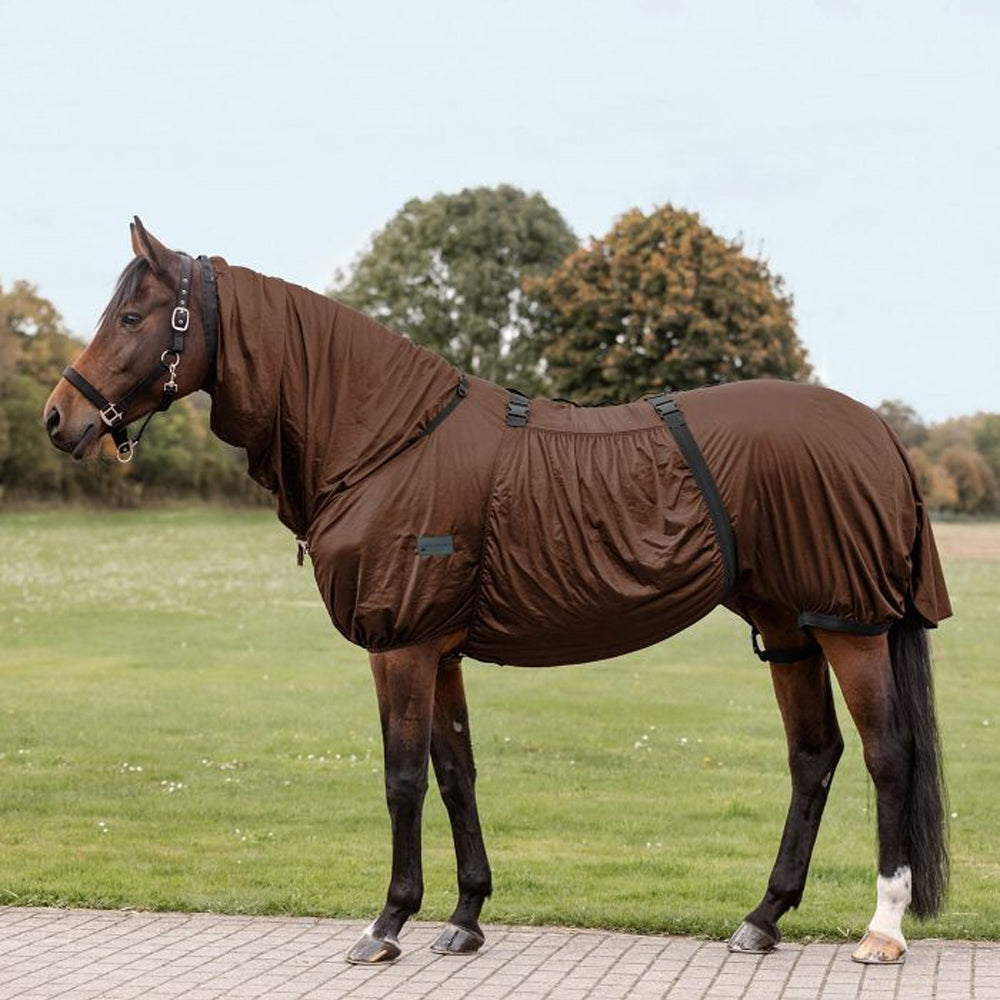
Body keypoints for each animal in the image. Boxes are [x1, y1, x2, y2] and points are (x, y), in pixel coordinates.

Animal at [43, 218, 950, 967]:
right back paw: (762, 919)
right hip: (789, 629)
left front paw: (387, 924)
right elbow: (456, 773)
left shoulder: (400, 645)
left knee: (887, 755)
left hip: (850, 625)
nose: (58, 418)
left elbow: (402, 778)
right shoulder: (438, 650)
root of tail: (878, 430)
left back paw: (882, 929)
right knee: (814, 756)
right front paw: (465, 918)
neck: (386, 438)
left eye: (132, 318)